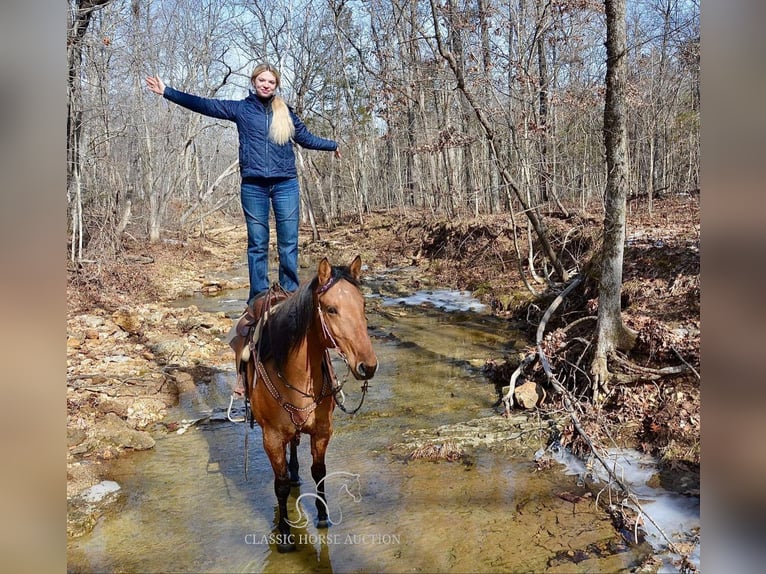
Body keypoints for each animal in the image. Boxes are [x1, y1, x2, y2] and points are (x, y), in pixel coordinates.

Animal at [232, 256, 380, 552]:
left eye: (362, 305)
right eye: (331, 309)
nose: (367, 366)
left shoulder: (322, 430)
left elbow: (319, 472)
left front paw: (322, 516)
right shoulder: (272, 437)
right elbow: (280, 486)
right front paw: (285, 535)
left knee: (296, 446)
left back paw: (295, 472)